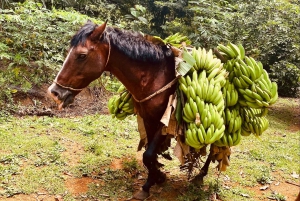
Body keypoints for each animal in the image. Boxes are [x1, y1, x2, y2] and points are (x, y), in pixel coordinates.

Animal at [47, 20, 212, 199]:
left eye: (82, 55)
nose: (55, 92)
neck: (155, 77)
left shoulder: (166, 121)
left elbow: (148, 155)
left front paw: (152, 181)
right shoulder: (148, 119)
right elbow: (149, 153)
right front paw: (156, 178)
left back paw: (201, 175)